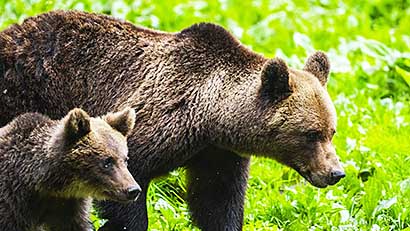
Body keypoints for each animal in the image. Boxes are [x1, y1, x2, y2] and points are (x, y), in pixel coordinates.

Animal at [0, 10, 344, 231]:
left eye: (332, 131)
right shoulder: (154, 124)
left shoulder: (218, 155)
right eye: (310, 133)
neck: (209, 120)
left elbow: (217, 203)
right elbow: (127, 196)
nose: (336, 172)